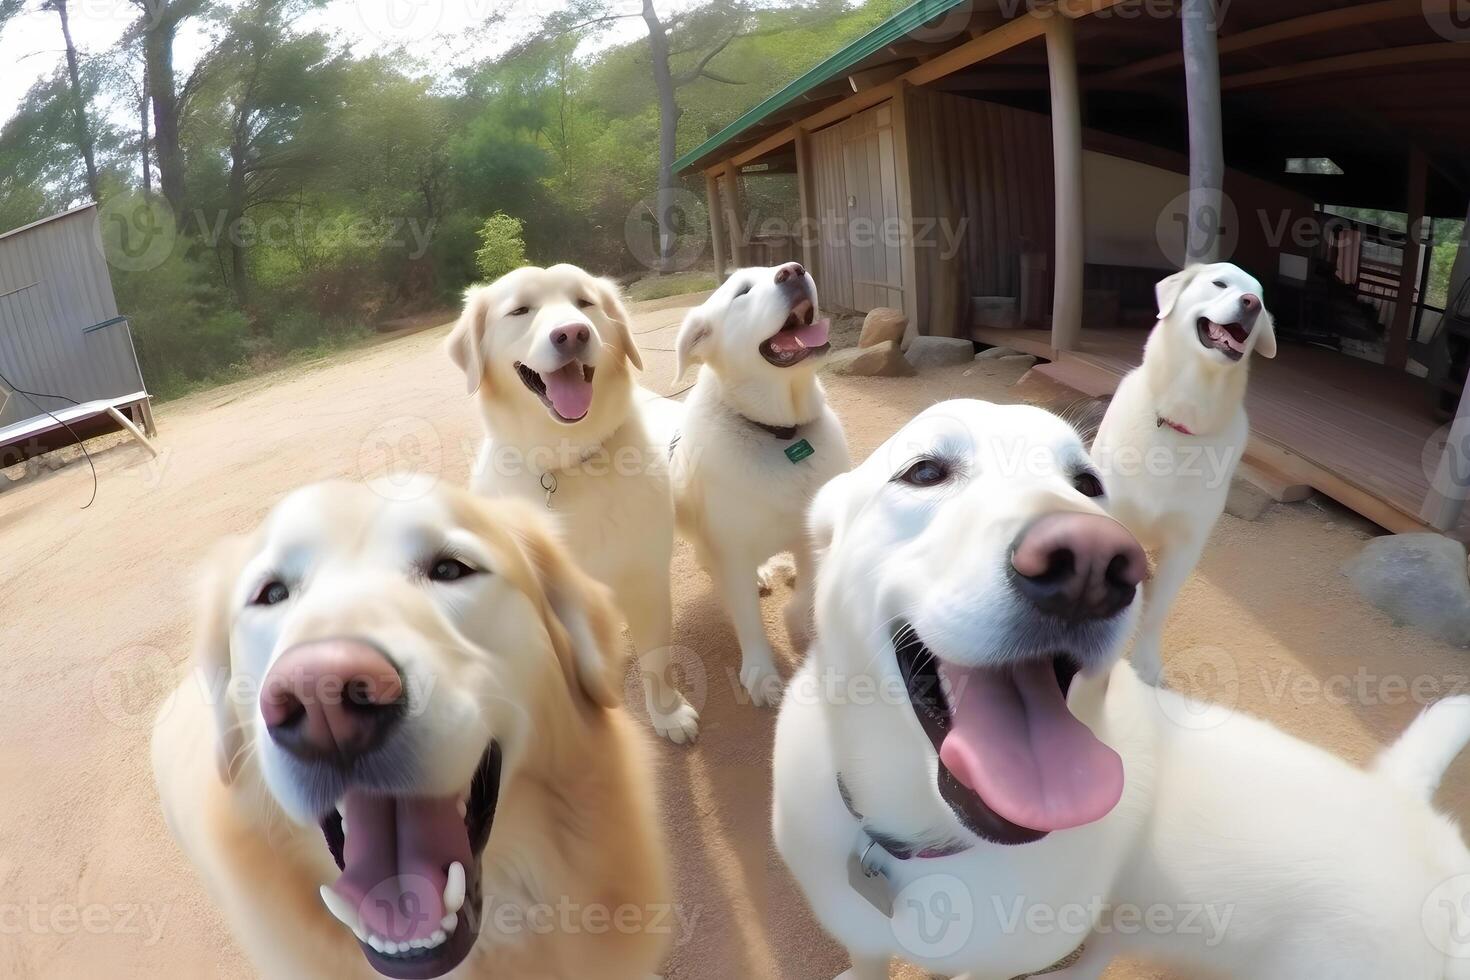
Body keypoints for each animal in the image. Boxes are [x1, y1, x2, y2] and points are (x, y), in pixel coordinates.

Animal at [446, 265, 699, 743]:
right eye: (520, 310)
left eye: (585, 304)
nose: (572, 333)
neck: (565, 462)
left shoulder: (647, 582)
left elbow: (657, 662)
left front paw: (669, 715)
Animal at [670, 260, 846, 705]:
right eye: (742, 293)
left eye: (783, 267)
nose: (794, 270)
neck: (781, 435)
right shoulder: (730, 549)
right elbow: (748, 618)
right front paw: (761, 673)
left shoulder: (809, 536)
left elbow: (806, 593)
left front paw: (798, 622)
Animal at [770, 399, 1470, 980]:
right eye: (923, 473)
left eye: (1088, 486)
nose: (1091, 563)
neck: (926, 847)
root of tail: (1404, 805)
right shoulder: (860, 930)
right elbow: (867, 959)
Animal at [1093, 262, 1275, 690]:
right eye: (1220, 283)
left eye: (1261, 298)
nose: (1251, 303)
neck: (1180, 420)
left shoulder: (1186, 544)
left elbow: (1157, 610)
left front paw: (1144, 666)